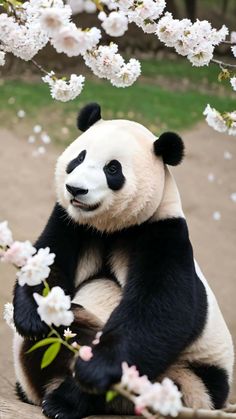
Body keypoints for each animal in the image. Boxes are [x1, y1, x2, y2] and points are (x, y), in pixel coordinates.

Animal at [13, 102, 234, 419]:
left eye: (112, 168)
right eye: (78, 158)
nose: (75, 189)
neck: (108, 227)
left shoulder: (161, 233)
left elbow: (161, 310)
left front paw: (94, 369)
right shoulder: (70, 222)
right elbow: (47, 260)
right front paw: (34, 316)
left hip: (190, 379)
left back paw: (64, 401)